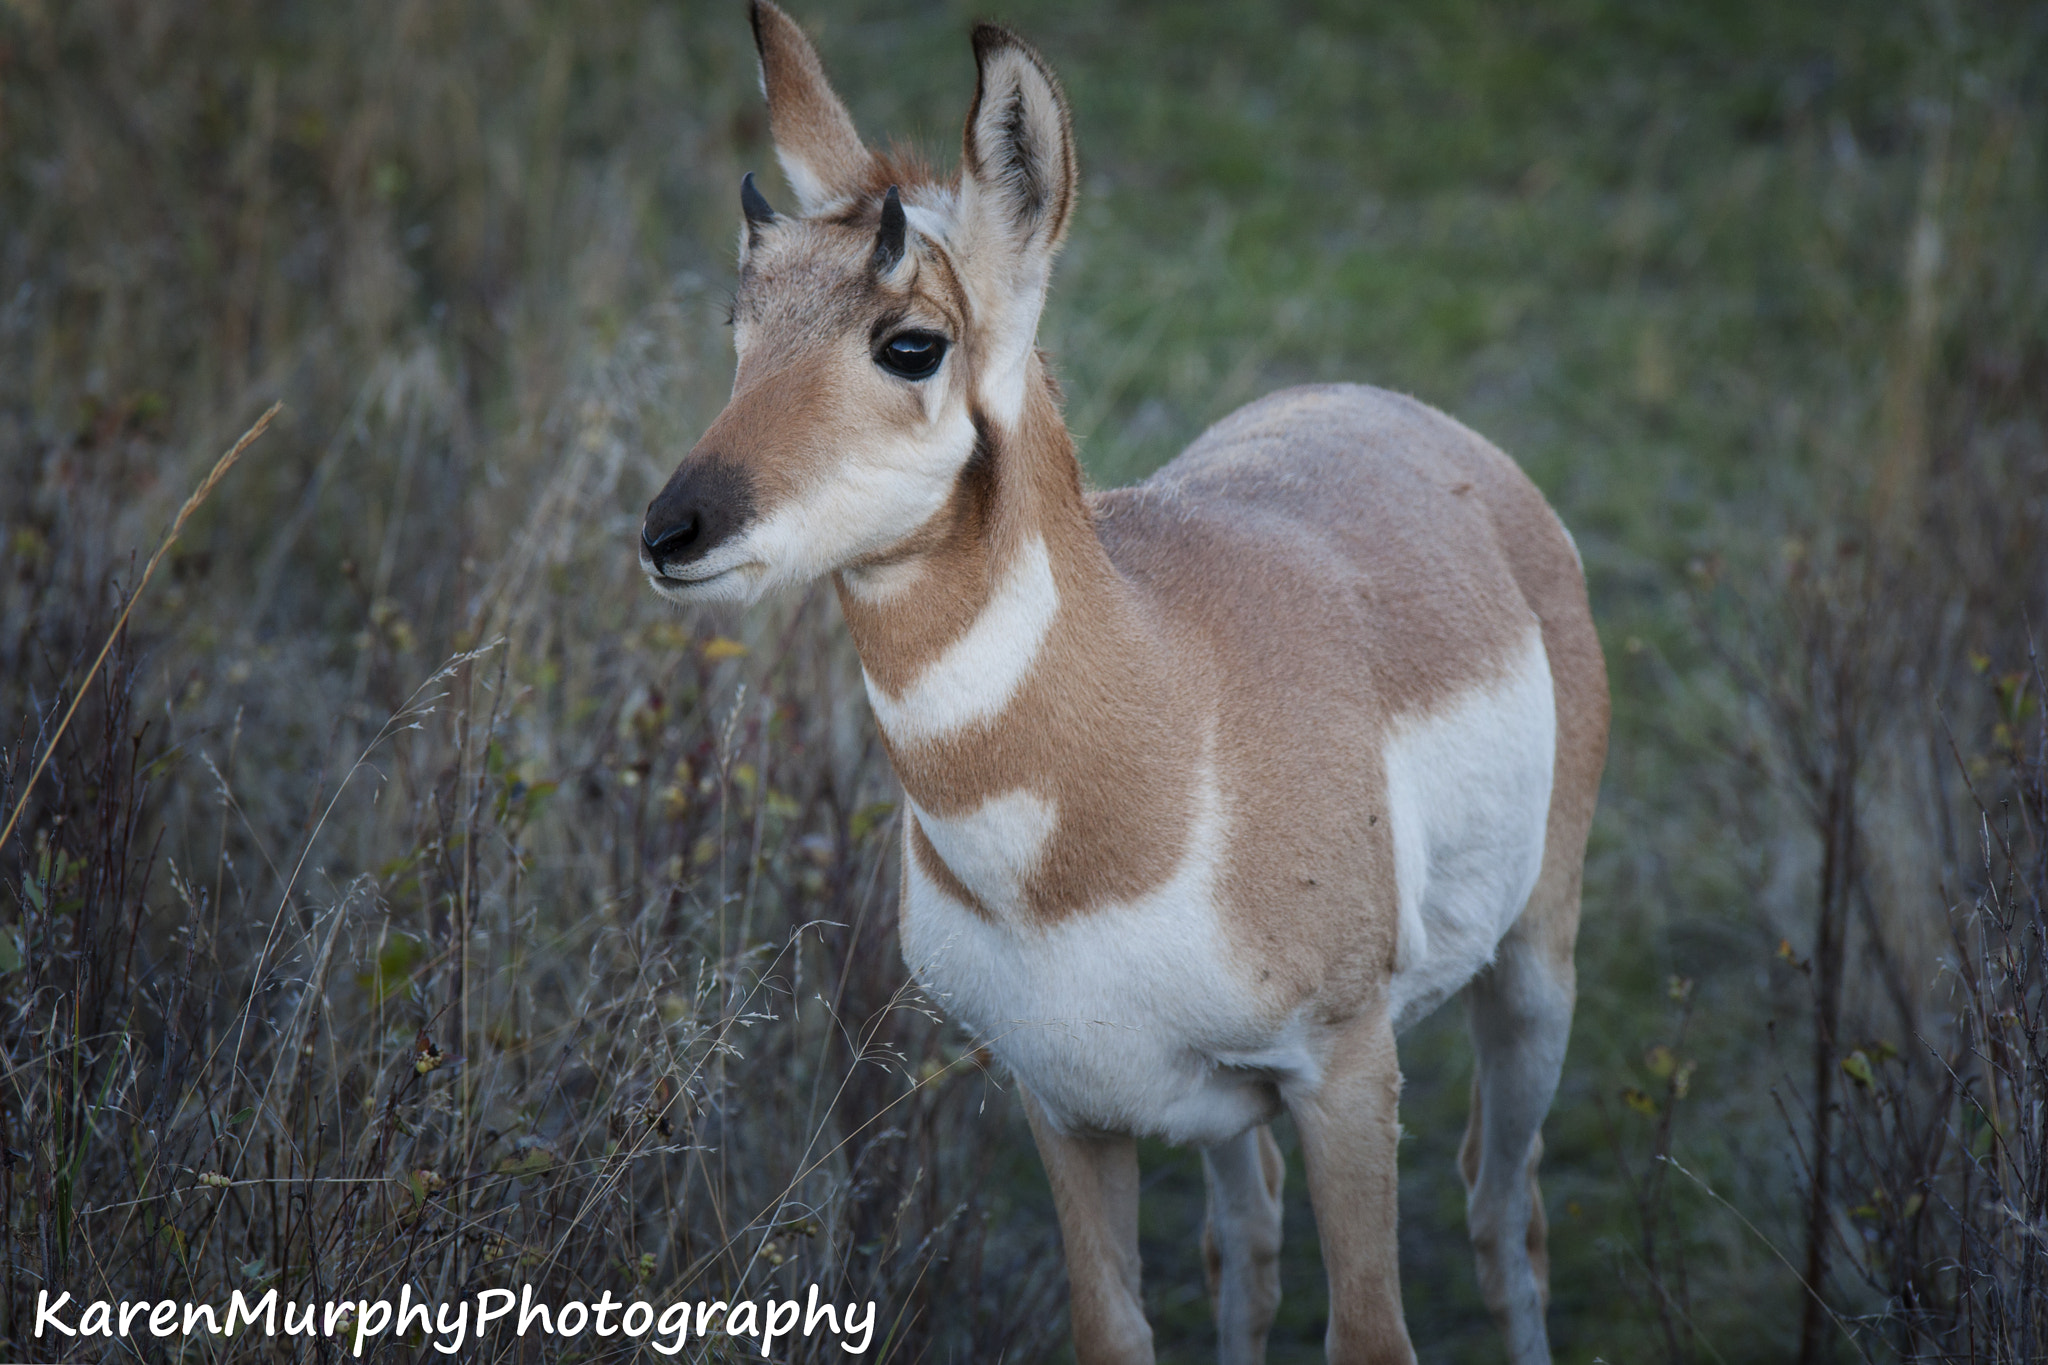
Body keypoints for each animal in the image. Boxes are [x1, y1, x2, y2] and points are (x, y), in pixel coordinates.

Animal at [634, 5, 1597, 1358]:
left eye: (909, 344)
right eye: (741, 331)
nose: (673, 530)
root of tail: (1410, 420)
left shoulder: (1346, 1070)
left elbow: (1370, 1332)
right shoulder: (1069, 1106)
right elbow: (1118, 1327)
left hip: (1530, 978)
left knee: (1504, 1212)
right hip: (1225, 1115)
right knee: (1246, 1239)